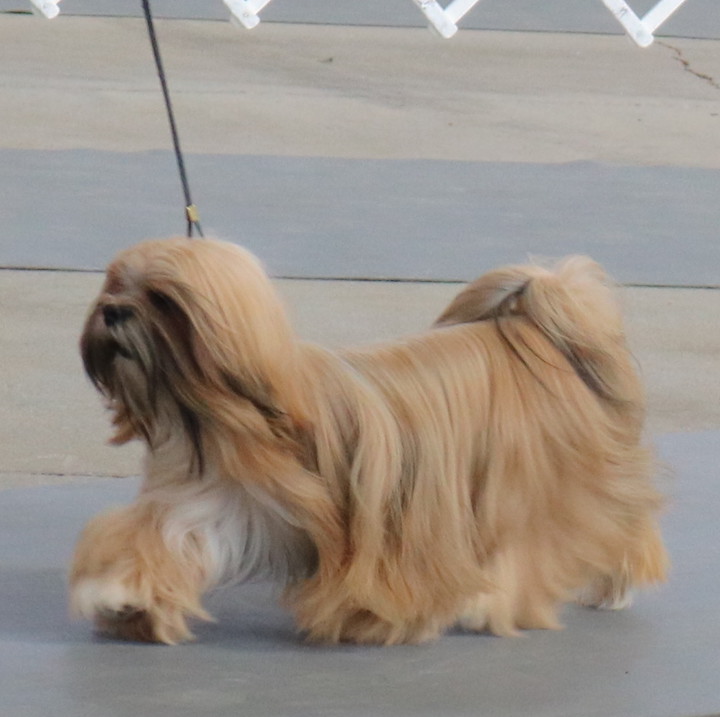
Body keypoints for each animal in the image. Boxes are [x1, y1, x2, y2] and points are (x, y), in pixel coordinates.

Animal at [69, 235, 668, 644]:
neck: (224, 418)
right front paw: (122, 597)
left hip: (542, 488)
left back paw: (587, 592)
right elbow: (152, 543)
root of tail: (534, 327)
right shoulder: (210, 504)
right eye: (114, 283)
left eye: (162, 298)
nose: (112, 311)